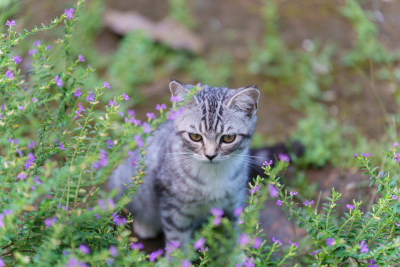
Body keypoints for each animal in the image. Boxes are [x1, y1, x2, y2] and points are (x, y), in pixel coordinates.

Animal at [108, 80, 260, 249]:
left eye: (228, 138)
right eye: (195, 136)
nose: (210, 155)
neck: (213, 173)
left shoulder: (233, 201)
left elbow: (232, 231)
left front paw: (236, 253)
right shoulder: (173, 206)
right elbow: (177, 239)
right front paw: (177, 255)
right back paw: (145, 225)